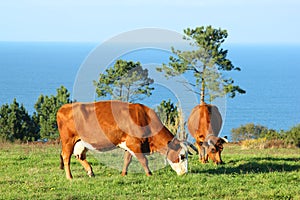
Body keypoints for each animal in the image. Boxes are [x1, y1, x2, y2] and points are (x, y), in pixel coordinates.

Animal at [56, 100, 188, 180]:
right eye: (182, 156)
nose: (185, 173)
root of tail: (65, 107)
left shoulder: (129, 145)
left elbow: (127, 160)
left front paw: (123, 174)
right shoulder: (134, 144)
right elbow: (144, 160)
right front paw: (149, 174)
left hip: (80, 142)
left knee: (80, 156)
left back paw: (90, 172)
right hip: (68, 141)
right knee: (66, 157)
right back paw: (70, 177)